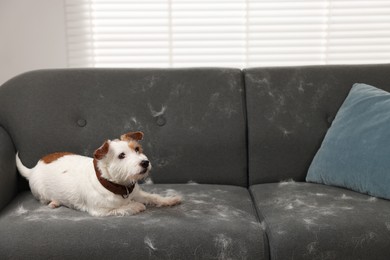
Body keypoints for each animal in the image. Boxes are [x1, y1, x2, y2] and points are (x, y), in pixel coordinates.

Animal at [16, 131, 182, 216]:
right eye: (121, 155)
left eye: (137, 149)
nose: (145, 162)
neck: (117, 186)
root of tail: (34, 168)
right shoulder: (101, 211)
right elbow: (124, 207)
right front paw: (136, 206)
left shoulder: (138, 193)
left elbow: (153, 197)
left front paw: (170, 199)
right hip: (41, 193)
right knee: (44, 199)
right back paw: (54, 202)